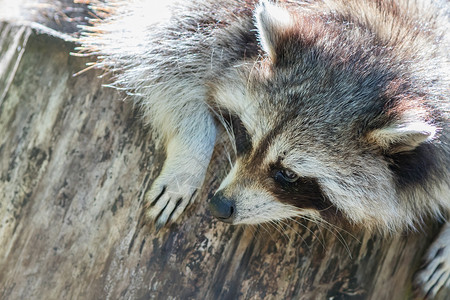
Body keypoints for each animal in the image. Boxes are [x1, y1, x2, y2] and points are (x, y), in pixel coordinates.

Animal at [75, 0, 448, 298]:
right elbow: (163, 49)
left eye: (288, 175)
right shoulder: (217, 17)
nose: (220, 206)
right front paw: (190, 155)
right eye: (246, 136)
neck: (386, 41)